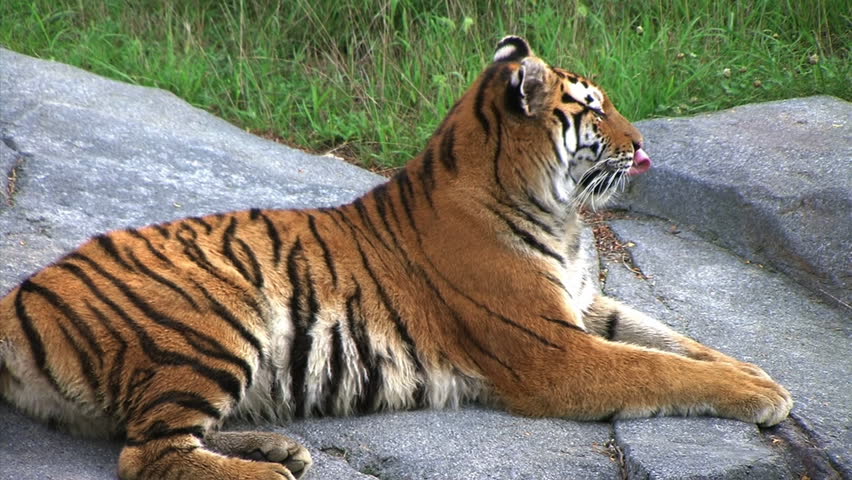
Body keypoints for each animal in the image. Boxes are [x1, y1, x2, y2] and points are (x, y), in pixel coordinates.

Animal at [0, 35, 792, 480]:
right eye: (594, 109)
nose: (642, 143)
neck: (559, 211)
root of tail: (20, 295)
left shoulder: (584, 303)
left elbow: (671, 339)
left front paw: (755, 370)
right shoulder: (552, 351)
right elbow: (654, 366)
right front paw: (762, 394)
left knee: (156, 435)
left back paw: (280, 449)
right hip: (216, 318)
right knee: (147, 455)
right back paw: (269, 475)